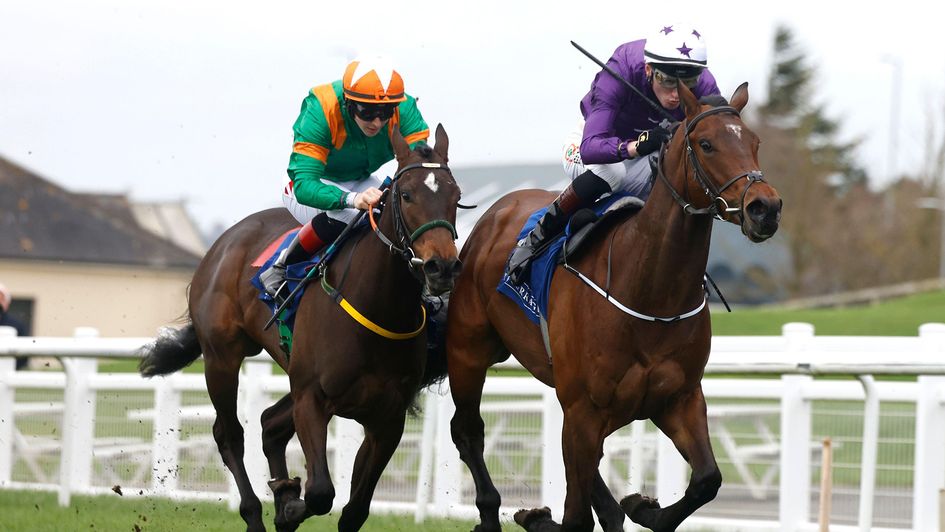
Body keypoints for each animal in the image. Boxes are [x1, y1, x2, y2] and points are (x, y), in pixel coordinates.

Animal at [139, 125, 460, 532]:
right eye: (406, 195)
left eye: (456, 196)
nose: (442, 267)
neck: (377, 306)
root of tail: (223, 242)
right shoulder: (311, 398)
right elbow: (321, 492)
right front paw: (290, 505)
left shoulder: (387, 418)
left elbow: (355, 509)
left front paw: (288, 497)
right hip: (222, 357)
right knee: (230, 434)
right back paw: (256, 512)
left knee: (269, 424)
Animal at [442, 84, 780, 532]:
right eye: (706, 144)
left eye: (755, 143)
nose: (766, 208)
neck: (650, 292)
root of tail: (495, 211)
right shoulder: (585, 407)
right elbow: (576, 518)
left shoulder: (678, 398)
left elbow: (707, 479)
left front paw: (643, 507)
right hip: (469, 350)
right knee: (467, 430)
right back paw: (491, 513)